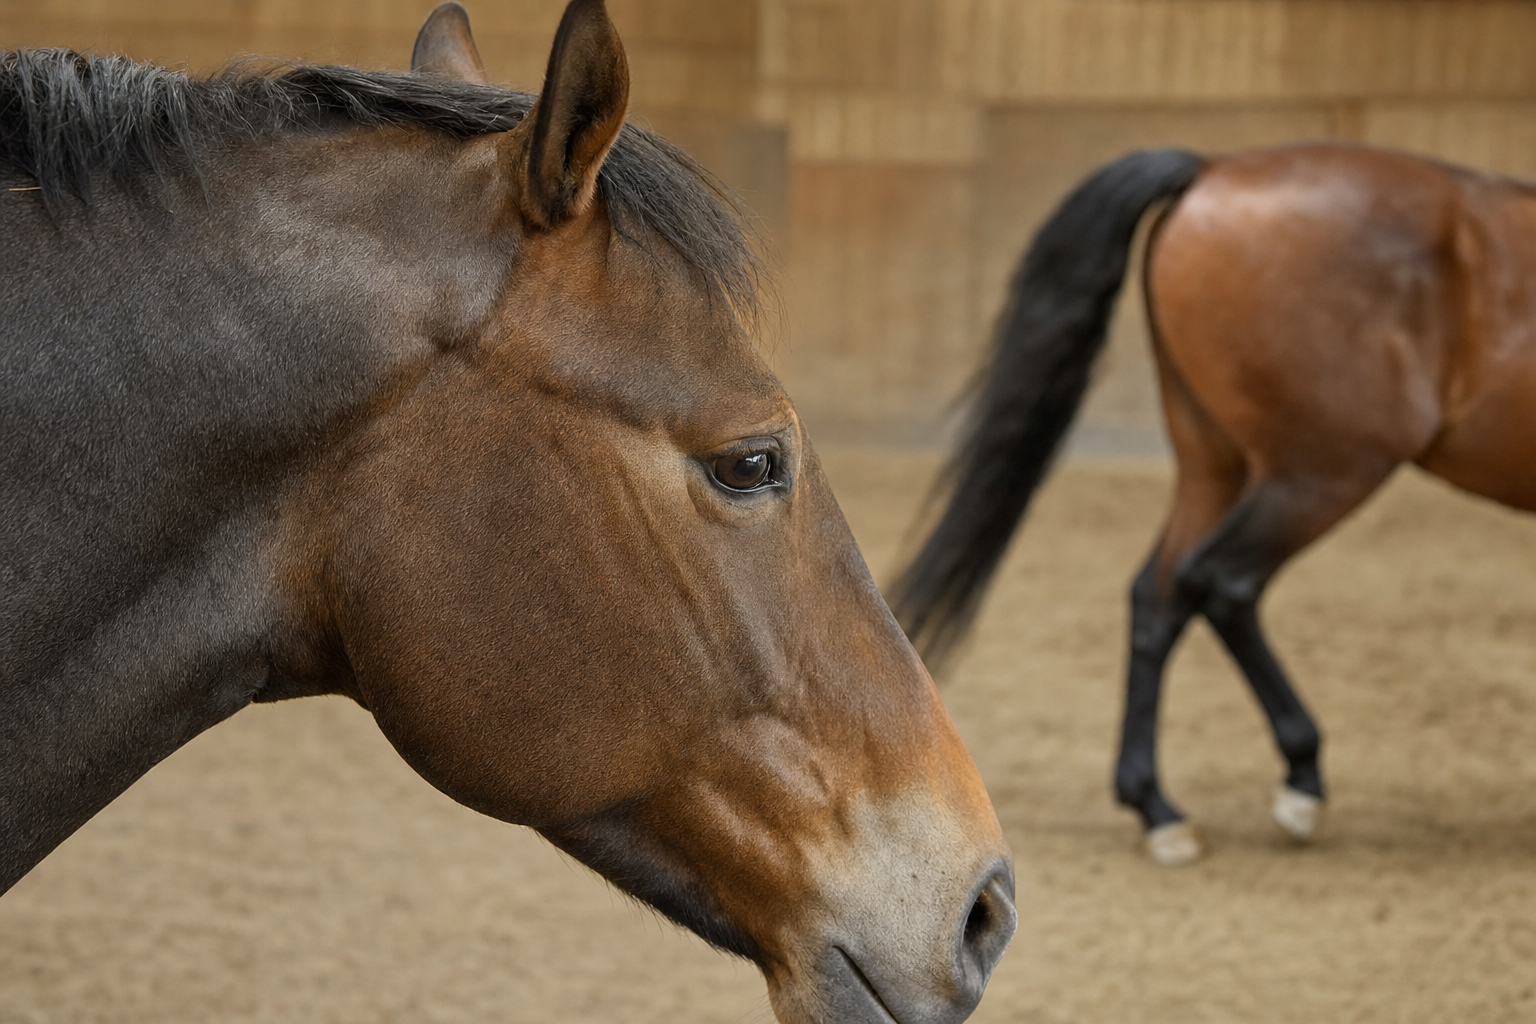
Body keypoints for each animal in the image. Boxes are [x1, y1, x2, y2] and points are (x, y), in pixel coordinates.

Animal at [892, 141, 1536, 867]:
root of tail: (1212, 170)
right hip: (1322, 471)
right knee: (1223, 581)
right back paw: (1298, 784)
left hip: (1214, 465)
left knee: (1161, 592)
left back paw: (1158, 807)